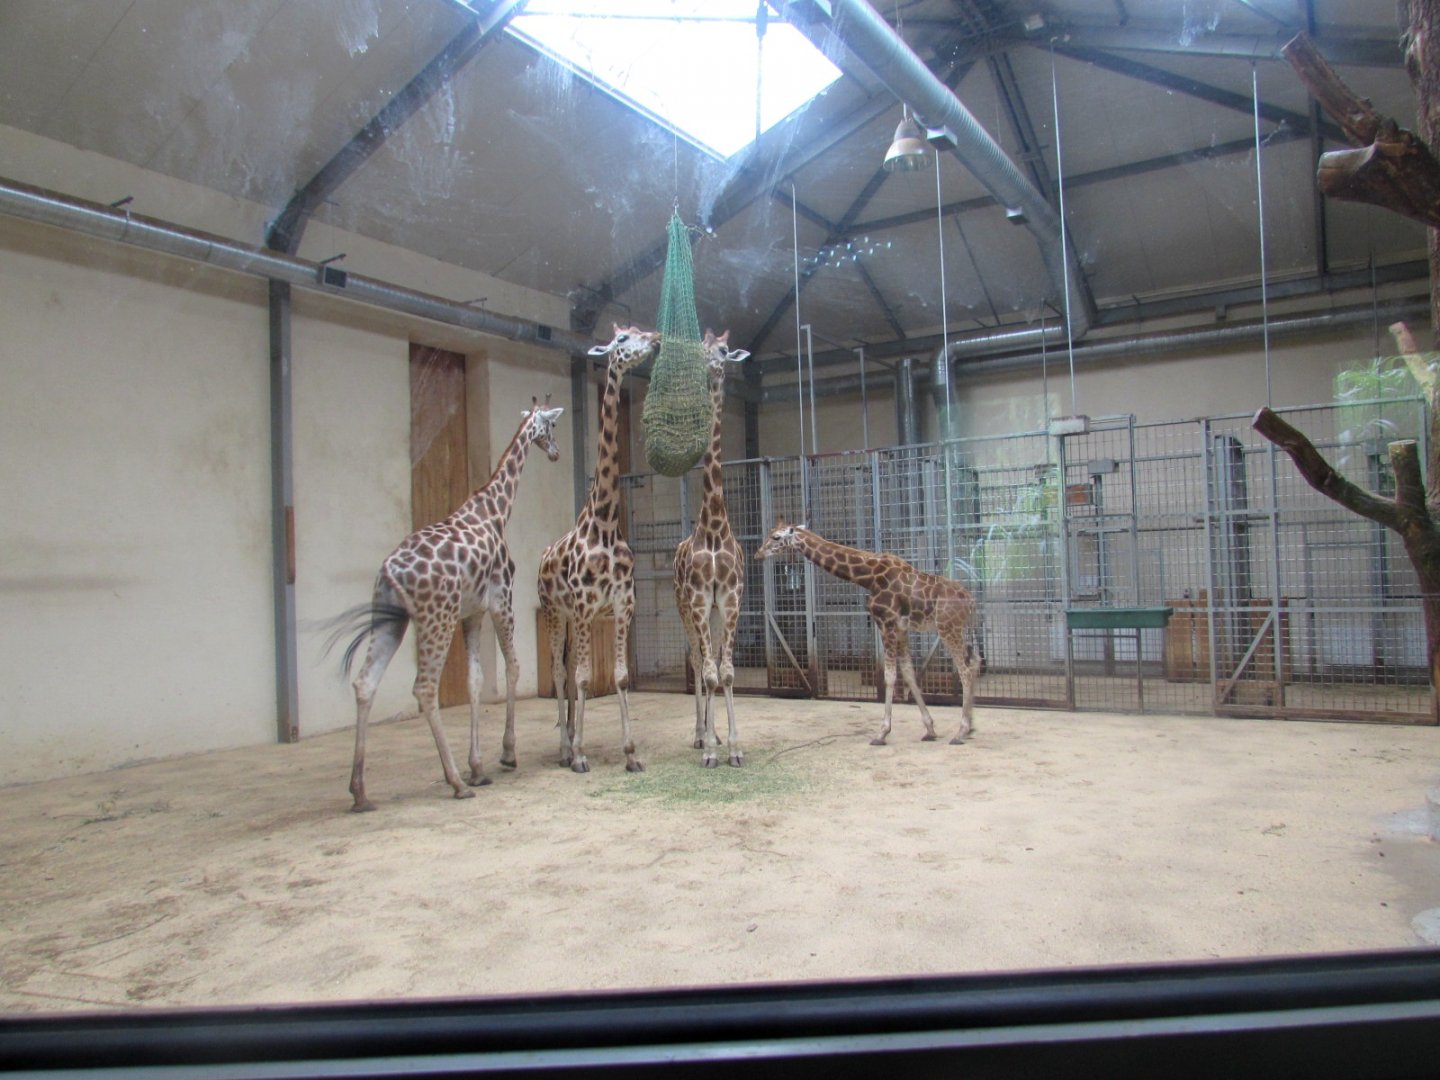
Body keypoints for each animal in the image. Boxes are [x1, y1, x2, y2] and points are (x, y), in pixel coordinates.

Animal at [336, 397, 565, 812]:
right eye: (552, 427)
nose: (556, 453)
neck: (495, 511)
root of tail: (391, 572)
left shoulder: (471, 613)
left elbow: (474, 680)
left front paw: (478, 766)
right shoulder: (501, 600)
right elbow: (512, 667)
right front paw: (505, 754)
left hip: (391, 621)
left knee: (365, 682)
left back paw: (360, 791)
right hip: (434, 618)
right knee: (425, 688)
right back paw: (455, 781)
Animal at [538, 324, 661, 773]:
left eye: (640, 330)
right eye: (622, 338)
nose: (655, 339)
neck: (606, 523)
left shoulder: (622, 604)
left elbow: (619, 676)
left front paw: (631, 755)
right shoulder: (584, 605)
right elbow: (583, 677)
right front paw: (579, 755)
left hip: (577, 619)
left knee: (570, 668)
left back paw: (572, 736)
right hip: (555, 612)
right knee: (560, 672)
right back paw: (563, 748)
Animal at [756, 520, 981, 746]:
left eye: (776, 537)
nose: (758, 554)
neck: (868, 576)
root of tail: (971, 601)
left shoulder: (886, 623)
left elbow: (890, 676)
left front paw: (881, 733)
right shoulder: (901, 629)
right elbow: (908, 674)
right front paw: (930, 729)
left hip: (948, 629)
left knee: (965, 670)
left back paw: (960, 732)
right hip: (965, 629)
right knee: (975, 662)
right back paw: (970, 727)